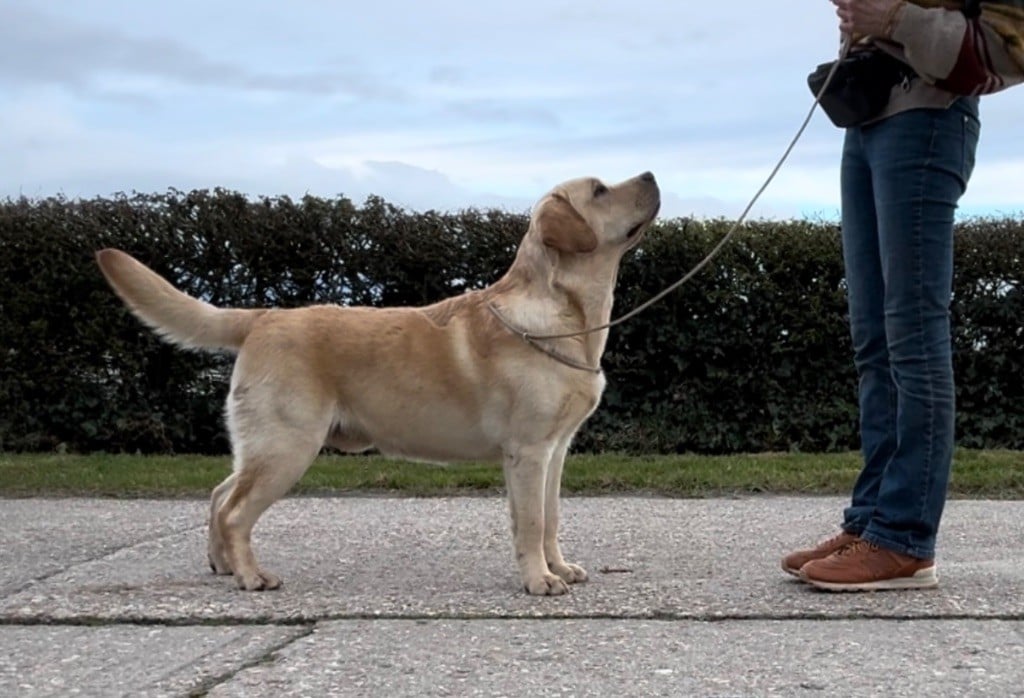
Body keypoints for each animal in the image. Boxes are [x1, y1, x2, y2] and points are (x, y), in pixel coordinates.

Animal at [94, 172, 655, 593]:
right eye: (600, 190)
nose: (650, 174)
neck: (569, 313)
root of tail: (262, 316)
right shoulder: (528, 451)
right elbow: (532, 521)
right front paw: (539, 580)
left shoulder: (555, 450)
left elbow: (553, 517)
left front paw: (559, 567)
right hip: (288, 446)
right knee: (234, 512)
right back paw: (252, 576)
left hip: (265, 445)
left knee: (220, 493)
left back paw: (224, 565)